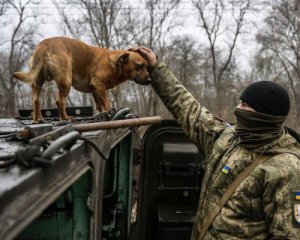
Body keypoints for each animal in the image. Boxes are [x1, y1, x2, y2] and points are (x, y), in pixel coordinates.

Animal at [12, 36, 151, 122]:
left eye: (147, 66)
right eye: (139, 66)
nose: (150, 80)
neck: (114, 63)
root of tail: (44, 45)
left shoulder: (95, 90)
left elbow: (99, 106)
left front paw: (102, 115)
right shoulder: (99, 85)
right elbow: (106, 103)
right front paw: (111, 113)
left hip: (38, 81)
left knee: (36, 100)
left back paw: (38, 119)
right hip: (66, 82)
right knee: (59, 101)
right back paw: (65, 119)